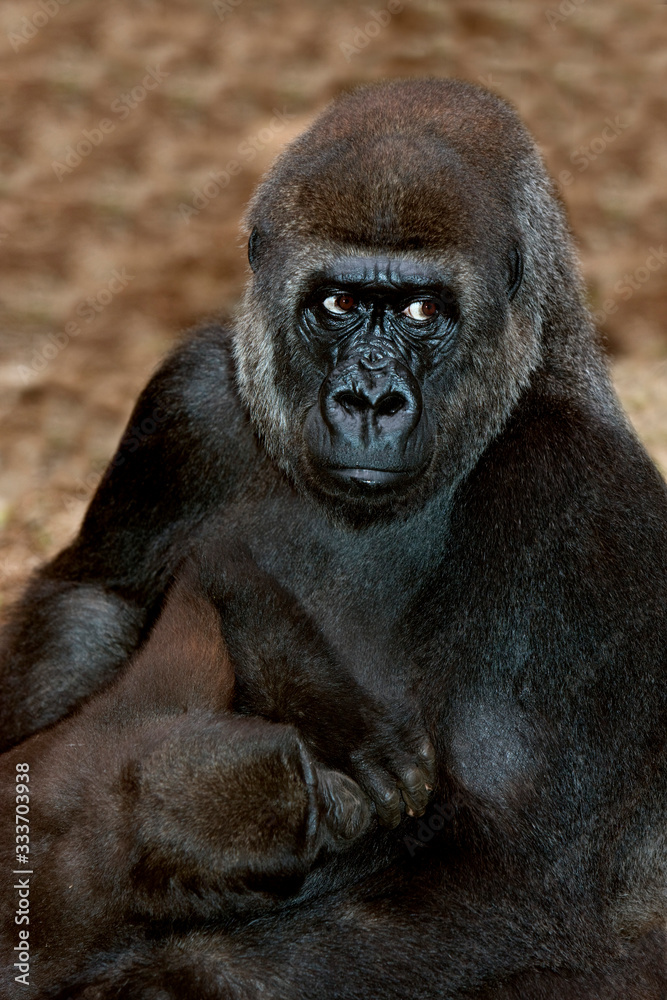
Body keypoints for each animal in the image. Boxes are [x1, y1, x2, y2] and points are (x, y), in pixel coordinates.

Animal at [1, 78, 666, 998]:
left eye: (422, 309)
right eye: (340, 302)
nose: (369, 402)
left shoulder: (579, 501)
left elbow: (504, 863)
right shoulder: (190, 399)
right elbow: (96, 603)